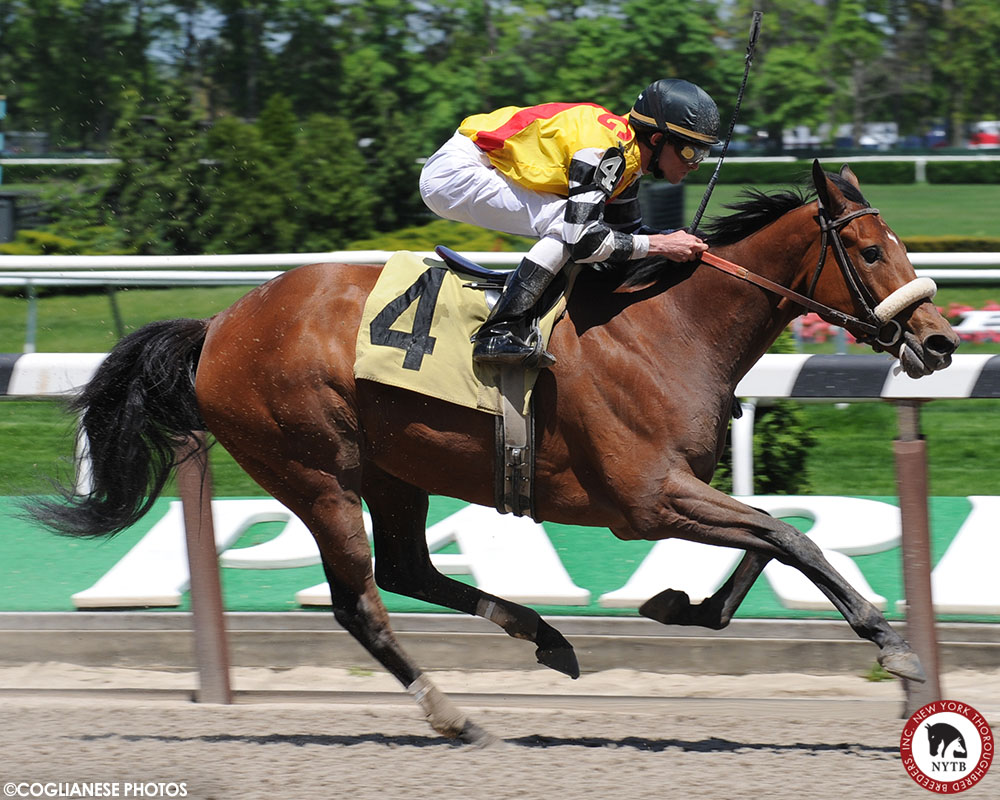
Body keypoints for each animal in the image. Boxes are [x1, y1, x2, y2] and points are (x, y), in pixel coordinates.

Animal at [33, 161, 959, 746]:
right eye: (870, 251)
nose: (942, 342)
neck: (670, 327)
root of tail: (220, 323)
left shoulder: (677, 489)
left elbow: (772, 535)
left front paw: (681, 606)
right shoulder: (645, 498)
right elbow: (790, 536)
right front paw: (898, 651)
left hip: (393, 471)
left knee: (409, 568)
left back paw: (544, 635)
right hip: (314, 472)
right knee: (362, 603)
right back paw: (454, 714)